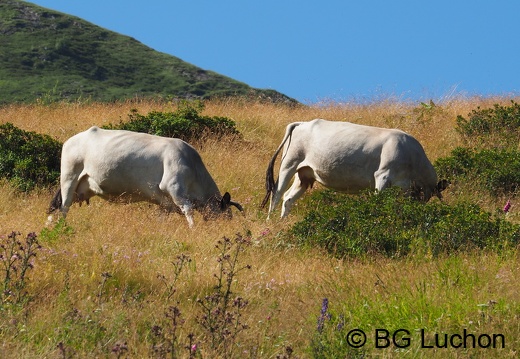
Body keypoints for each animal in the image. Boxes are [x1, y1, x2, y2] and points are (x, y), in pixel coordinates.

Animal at [47, 126, 243, 228]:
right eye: (227, 215)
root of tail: (71, 140)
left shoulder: (165, 203)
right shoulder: (174, 188)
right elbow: (188, 210)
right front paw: (193, 229)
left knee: (55, 205)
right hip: (69, 178)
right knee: (63, 207)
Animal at [262, 119, 448, 218]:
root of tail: (302, 123)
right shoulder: (382, 176)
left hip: (305, 174)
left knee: (288, 198)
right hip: (289, 164)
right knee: (276, 193)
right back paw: (270, 221)